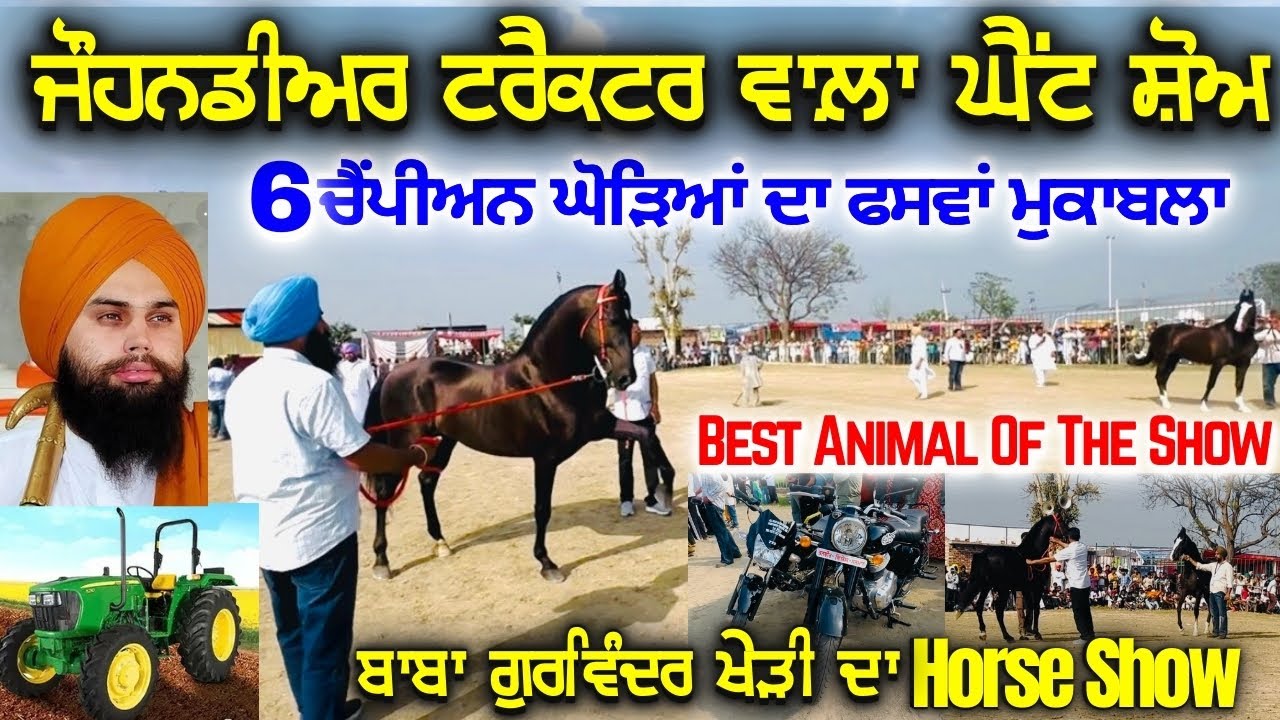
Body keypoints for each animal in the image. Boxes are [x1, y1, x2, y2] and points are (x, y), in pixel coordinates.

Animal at [363, 269, 677, 583]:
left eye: (630, 319)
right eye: (611, 318)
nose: (625, 377)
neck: (547, 380)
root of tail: (392, 374)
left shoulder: (600, 428)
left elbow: (647, 434)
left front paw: (664, 490)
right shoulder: (546, 458)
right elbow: (542, 508)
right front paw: (546, 562)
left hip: (441, 443)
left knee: (426, 482)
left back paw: (440, 543)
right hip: (403, 446)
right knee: (384, 494)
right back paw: (381, 561)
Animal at [954, 512, 1068, 642]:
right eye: (1062, 522)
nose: (1069, 534)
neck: (1033, 554)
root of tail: (984, 555)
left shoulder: (1026, 589)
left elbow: (1029, 608)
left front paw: (1027, 630)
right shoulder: (1036, 588)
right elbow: (1035, 608)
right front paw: (1036, 633)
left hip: (985, 587)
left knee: (979, 606)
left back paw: (984, 633)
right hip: (1001, 589)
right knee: (998, 611)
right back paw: (1007, 636)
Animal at [1127, 289, 1259, 412]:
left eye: (1251, 307)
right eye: (1237, 307)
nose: (1238, 327)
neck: (1234, 336)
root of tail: (1155, 333)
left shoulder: (1243, 364)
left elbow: (1239, 384)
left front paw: (1243, 408)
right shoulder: (1218, 362)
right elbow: (1211, 383)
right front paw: (1204, 406)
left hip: (1172, 360)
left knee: (1164, 378)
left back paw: (1166, 401)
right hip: (1164, 359)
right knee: (1159, 377)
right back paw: (1166, 404)